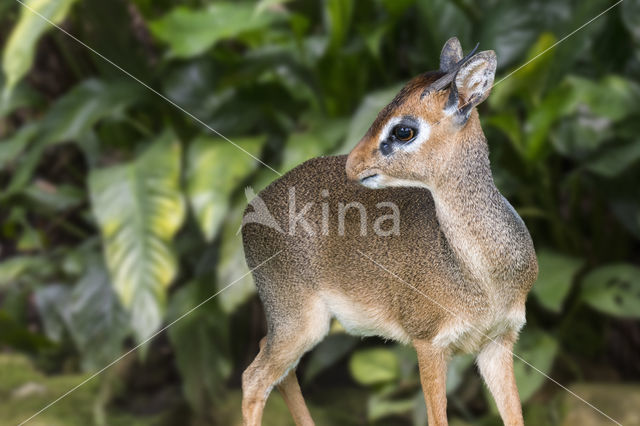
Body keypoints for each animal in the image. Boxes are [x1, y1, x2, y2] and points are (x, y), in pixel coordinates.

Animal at [242, 38, 536, 424]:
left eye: (403, 129)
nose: (352, 164)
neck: (482, 276)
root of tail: (249, 211)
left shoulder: (498, 342)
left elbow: (514, 416)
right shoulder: (428, 342)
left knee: (273, 367)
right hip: (298, 320)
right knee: (254, 378)